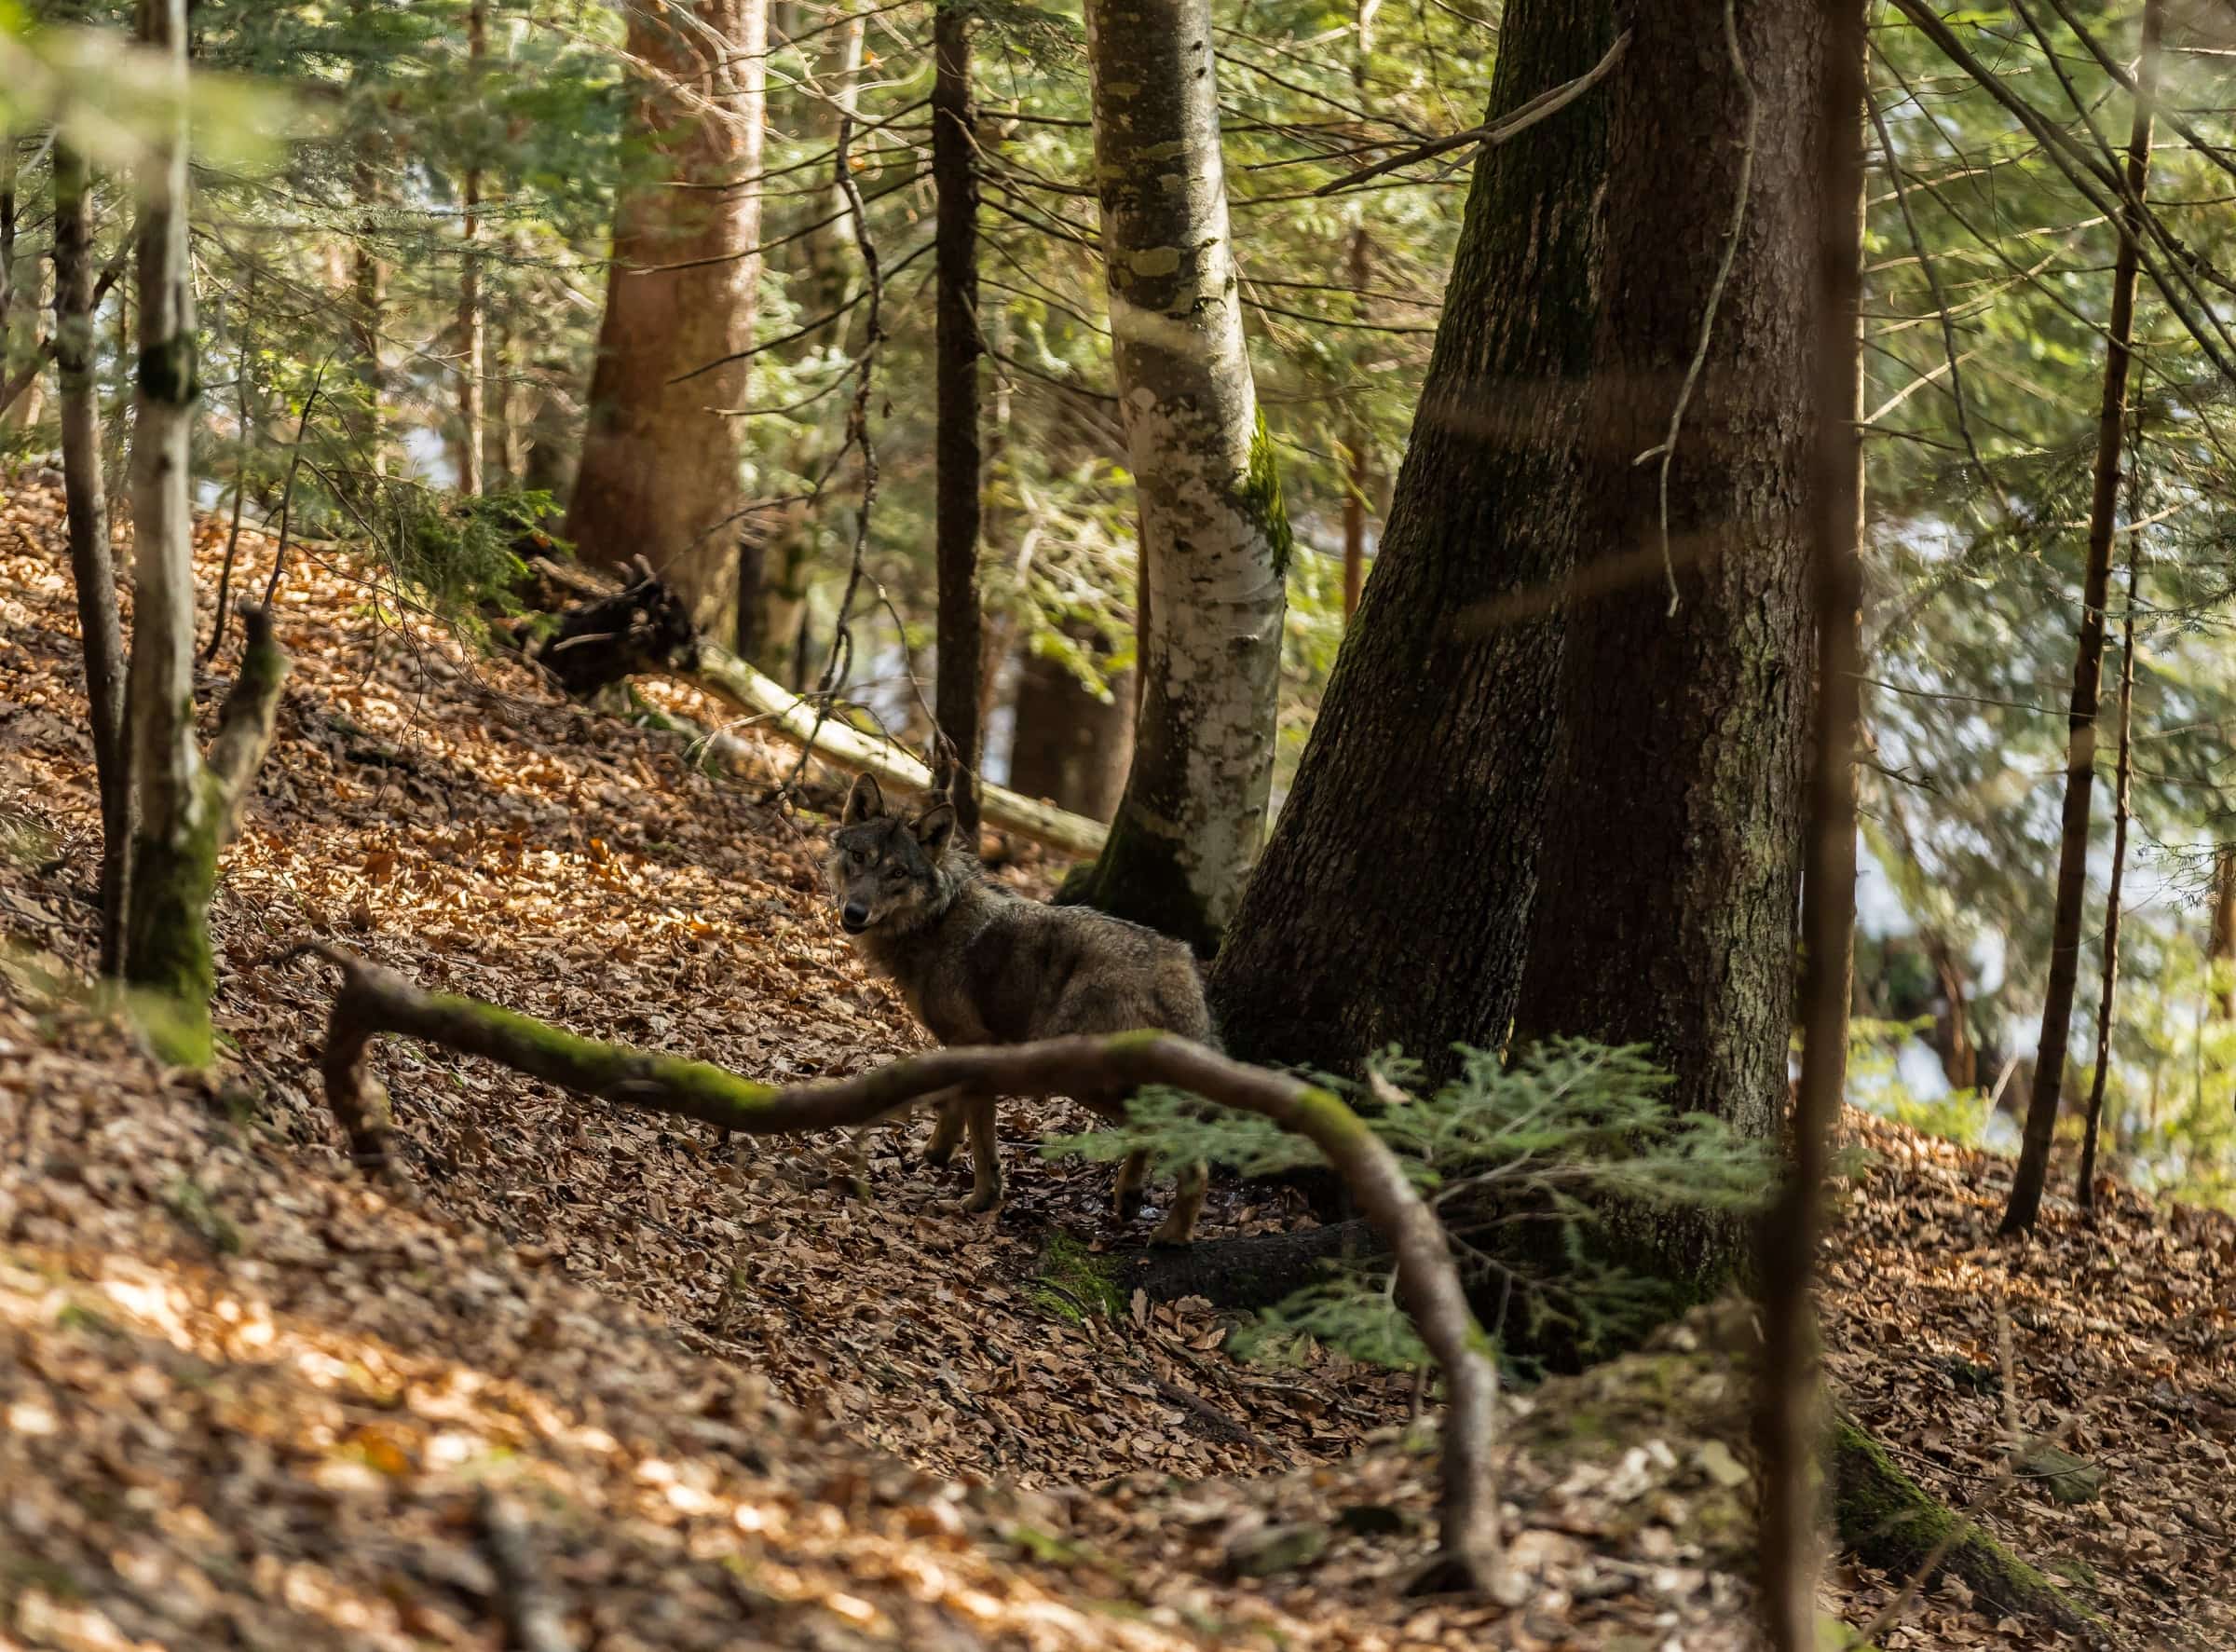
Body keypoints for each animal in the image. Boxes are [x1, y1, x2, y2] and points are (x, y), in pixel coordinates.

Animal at [824, 772, 1211, 1245]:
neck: (935, 922)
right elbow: (954, 1111)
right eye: (859, 857)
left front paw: (979, 1201)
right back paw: (1129, 1198)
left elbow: (983, 1142)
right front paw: (937, 1152)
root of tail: (1177, 965)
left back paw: (1173, 1236)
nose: (855, 911)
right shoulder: (960, 1051)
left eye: (897, 873)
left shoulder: (975, 1050)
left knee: (1195, 1161)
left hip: (1082, 1078)